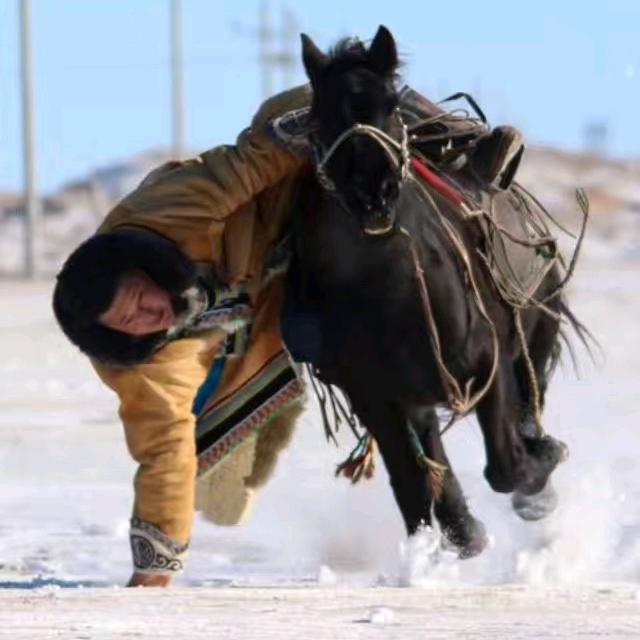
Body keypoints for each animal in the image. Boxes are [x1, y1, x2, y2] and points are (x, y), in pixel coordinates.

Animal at [287, 25, 574, 558]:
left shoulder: (485, 362)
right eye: (321, 116)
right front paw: (460, 534)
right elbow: (413, 485)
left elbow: (504, 466)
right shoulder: (375, 394)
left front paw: (540, 469)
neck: (384, 287)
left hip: (536, 326)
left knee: (529, 400)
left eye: (390, 105)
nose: (373, 191)